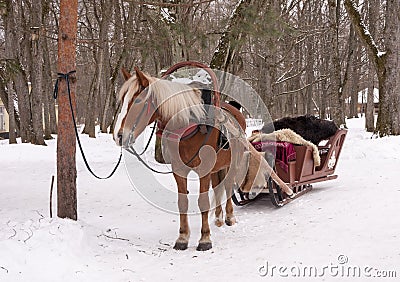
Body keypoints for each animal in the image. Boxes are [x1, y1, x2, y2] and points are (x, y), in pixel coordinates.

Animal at [114, 67, 292, 251]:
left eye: (138, 100)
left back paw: (229, 217)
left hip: (233, 161)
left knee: (228, 186)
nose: (119, 136)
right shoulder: (179, 170)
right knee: (218, 186)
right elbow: (183, 202)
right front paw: (183, 237)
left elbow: (203, 202)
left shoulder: (204, 169)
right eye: (121, 99)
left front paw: (205, 238)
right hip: (218, 165)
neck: (189, 126)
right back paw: (219, 218)